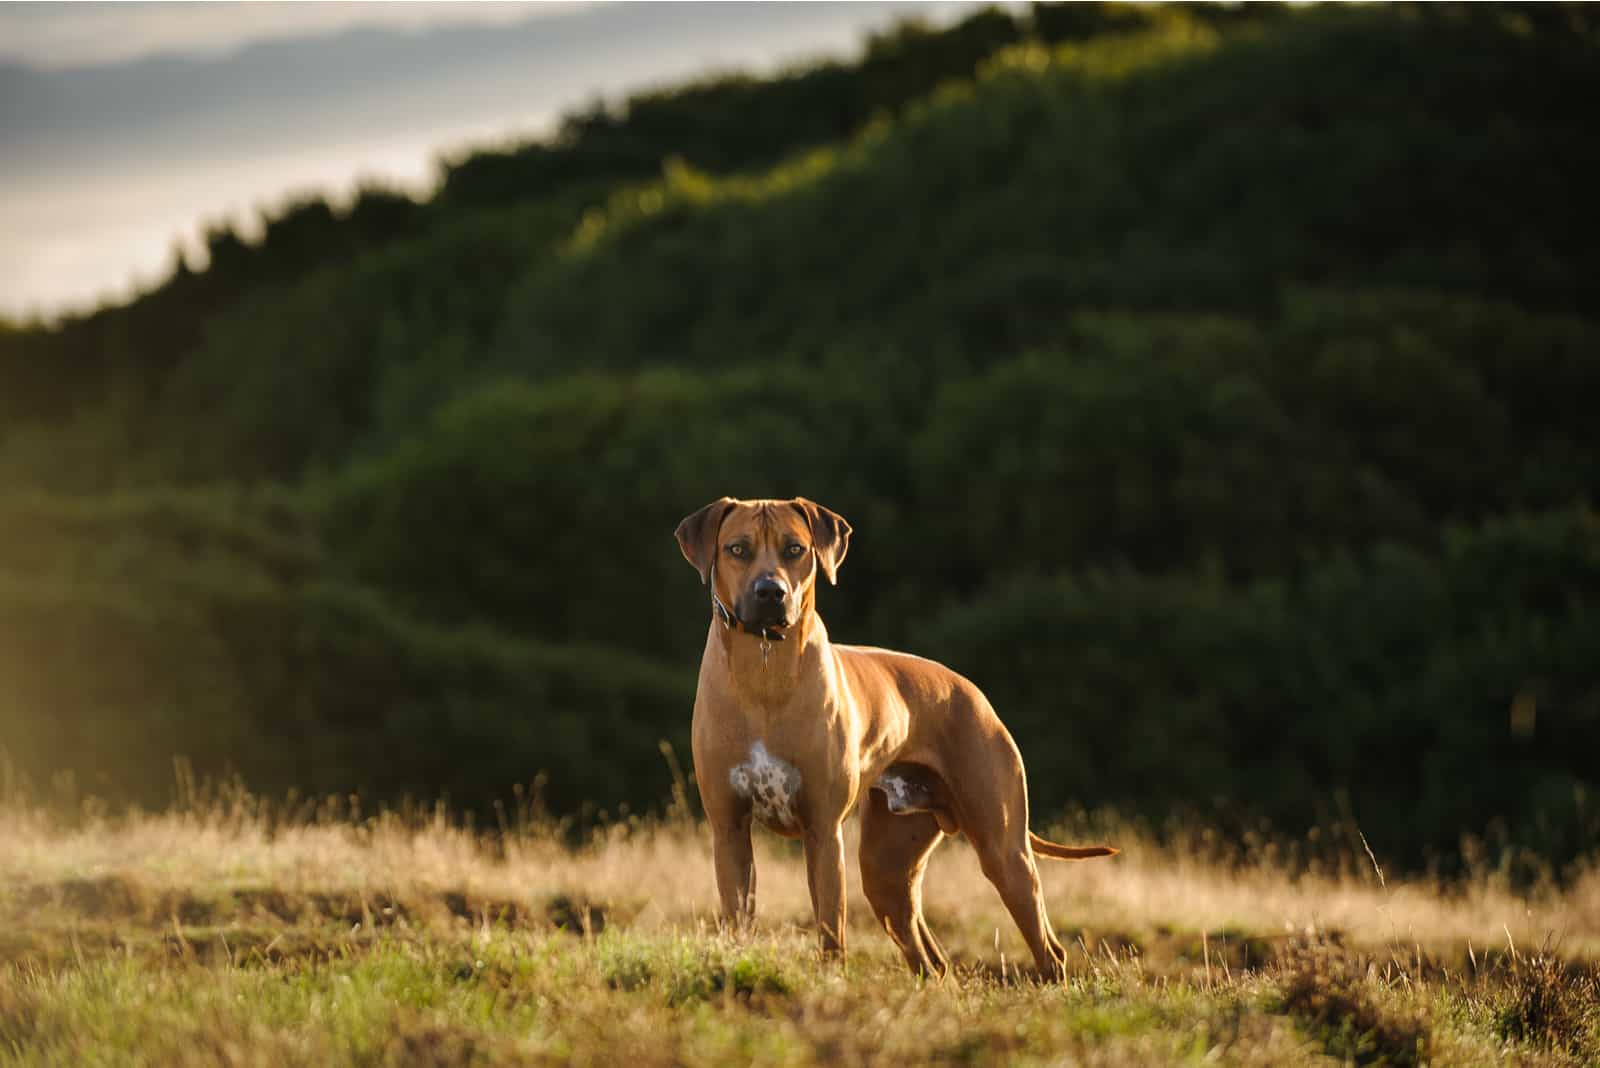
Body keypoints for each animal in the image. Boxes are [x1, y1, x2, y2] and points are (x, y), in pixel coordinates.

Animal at [672, 495, 1113, 978]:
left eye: (794, 549)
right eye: (737, 549)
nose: (771, 592)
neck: (765, 669)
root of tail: (974, 692)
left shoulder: (823, 830)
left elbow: (831, 927)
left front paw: (832, 979)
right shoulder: (729, 828)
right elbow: (738, 917)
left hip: (1003, 849)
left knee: (1048, 947)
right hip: (886, 867)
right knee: (932, 960)